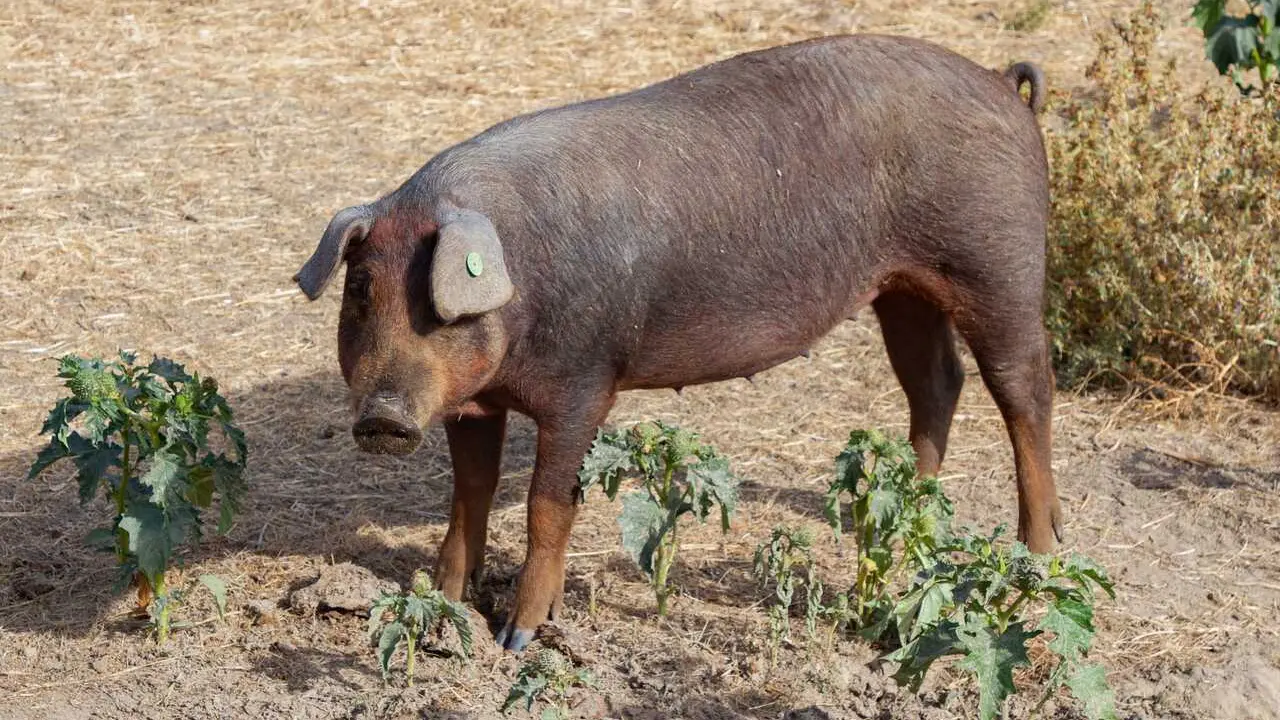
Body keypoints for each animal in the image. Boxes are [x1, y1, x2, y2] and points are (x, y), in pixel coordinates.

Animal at [294, 34, 1061, 652]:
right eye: (360, 290)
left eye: (439, 303)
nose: (383, 418)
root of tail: (1002, 83)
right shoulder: (474, 403)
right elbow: (469, 493)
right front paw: (441, 601)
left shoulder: (585, 384)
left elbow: (549, 505)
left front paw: (517, 639)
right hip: (900, 289)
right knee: (937, 384)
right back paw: (894, 511)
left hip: (999, 263)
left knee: (1024, 389)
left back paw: (1042, 550)